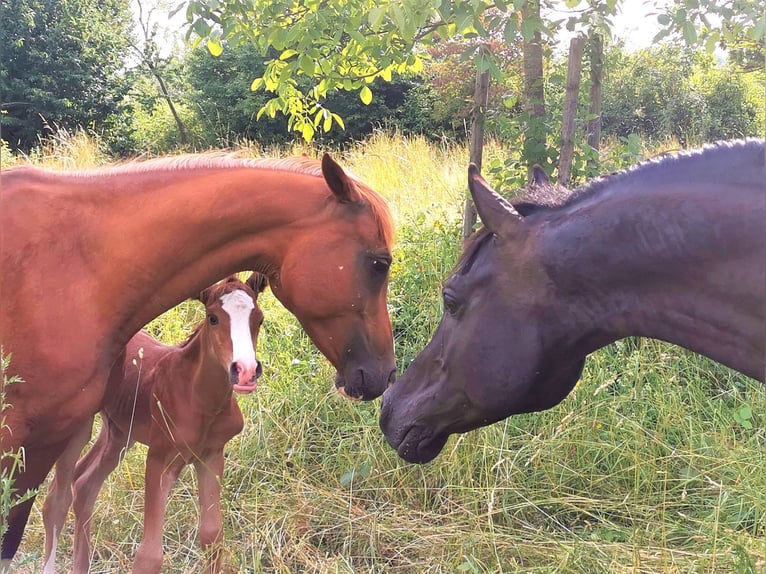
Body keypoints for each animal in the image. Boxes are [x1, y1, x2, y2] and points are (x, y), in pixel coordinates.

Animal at [42, 276, 270, 574]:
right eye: (213, 318)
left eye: (259, 319)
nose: (245, 371)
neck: (199, 400)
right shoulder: (160, 457)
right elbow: (149, 556)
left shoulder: (211, 454)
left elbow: (212, 536)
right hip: (80, 425)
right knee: (55, 501)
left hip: (119, 432)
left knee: (84, 484)